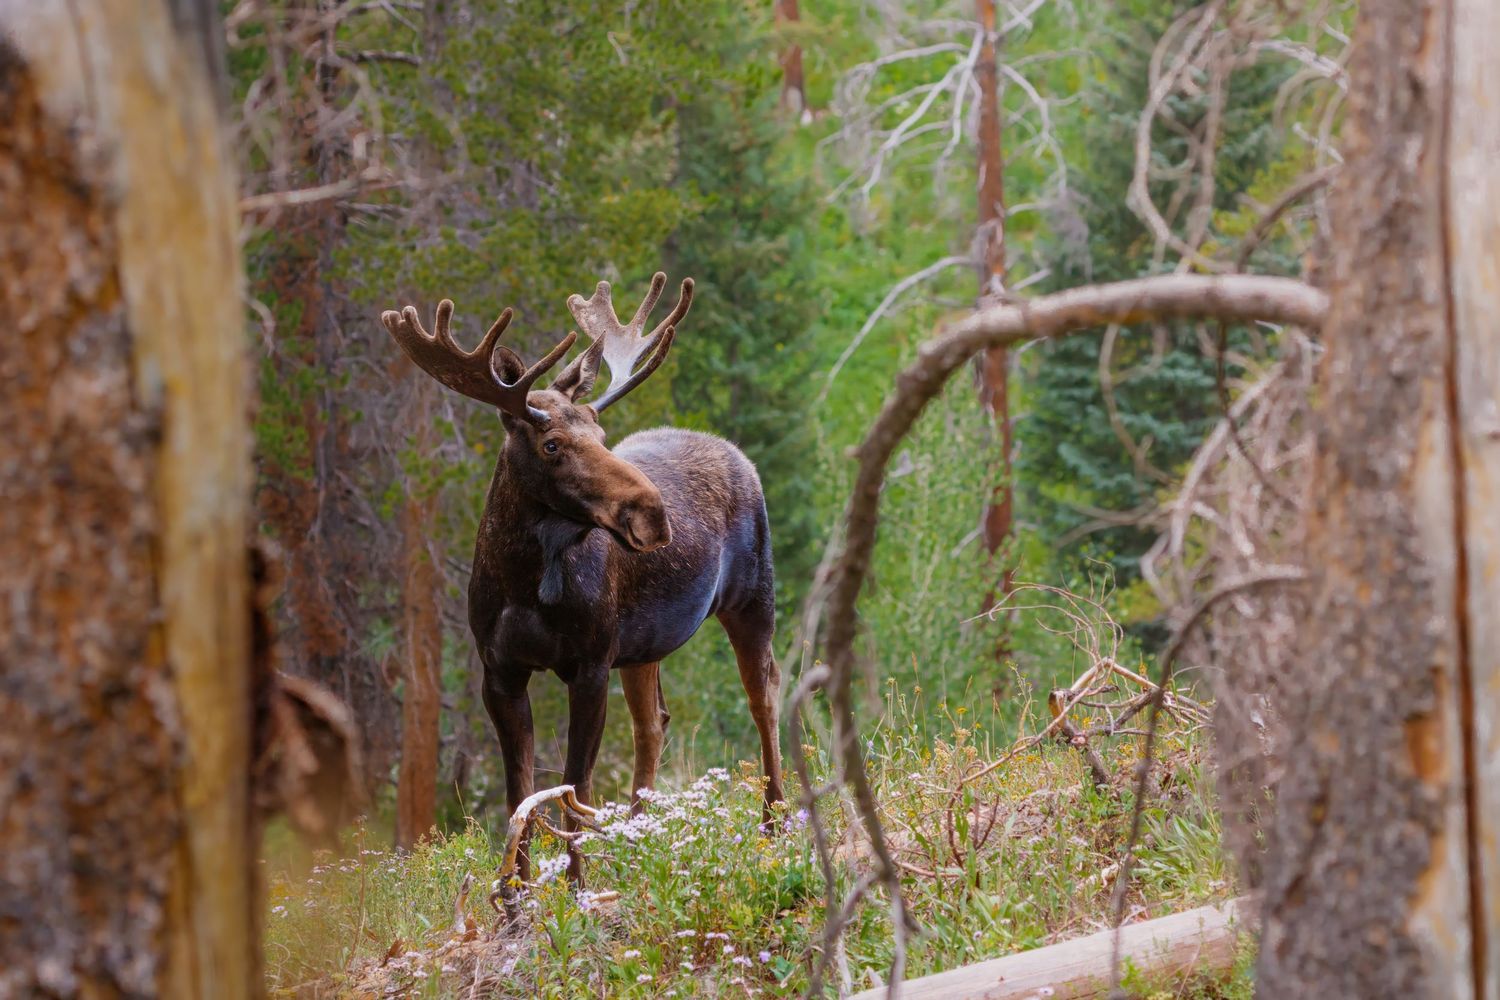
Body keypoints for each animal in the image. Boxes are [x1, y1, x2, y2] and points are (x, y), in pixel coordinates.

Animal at [381, 273, 784, 883]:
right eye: (552, 445)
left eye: (600, 431)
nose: (653, 514)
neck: (525, 584)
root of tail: (738, 453)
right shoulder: (499, 670)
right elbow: (519, 792)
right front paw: (515, 890)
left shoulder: (590, 665)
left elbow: (575, 787)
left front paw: (576, 886)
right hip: (643, 645)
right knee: (653, 723)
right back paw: (639, 842)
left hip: (752, 599)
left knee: (766, 697)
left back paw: (775, 825)